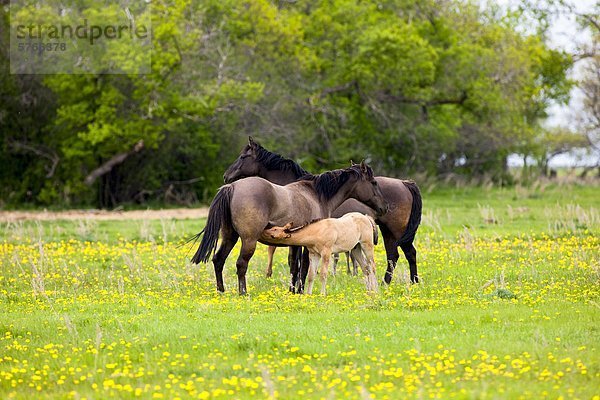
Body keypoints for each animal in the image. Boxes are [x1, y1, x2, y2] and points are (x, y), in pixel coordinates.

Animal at [193, 161, 390, 296]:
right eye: (373, 182)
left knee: (218, 260)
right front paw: (300, 290)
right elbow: (304, 268)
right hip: (248, 240)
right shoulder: (308, 245)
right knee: (241, 264)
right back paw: (243, 293)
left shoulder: (296, 243)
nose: (384, 207)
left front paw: (293, 290)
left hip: (229, 237)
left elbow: (294, 266)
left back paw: (221, 291)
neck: (316, 194)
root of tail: (232, 186)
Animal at [223, 138, 424, 284]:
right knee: (393, 255)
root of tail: (405, 183)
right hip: (387, 231)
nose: (226, 176)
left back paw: (413, 282)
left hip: (397, 231)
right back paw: (385, 283)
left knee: (410, 253)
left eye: (242, 157)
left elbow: (296, 264)